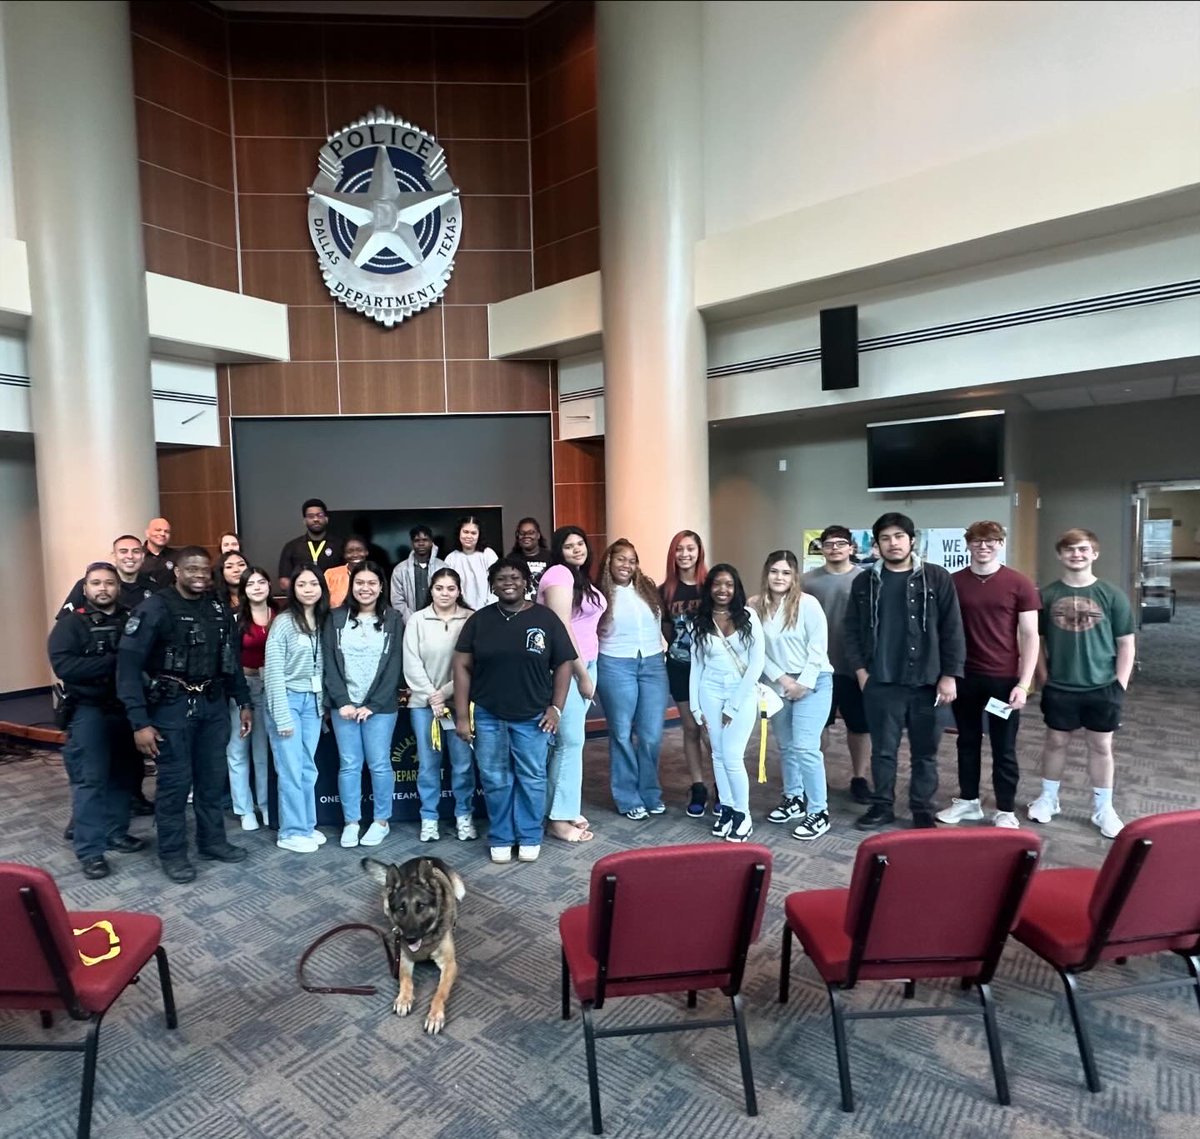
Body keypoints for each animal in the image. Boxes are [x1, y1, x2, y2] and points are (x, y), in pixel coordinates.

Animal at [360, 854, 463, 1032]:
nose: (410, 938)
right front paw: (403, 999)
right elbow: (406, 980)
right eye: (401, 909)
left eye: (420, 906)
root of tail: (422, 857)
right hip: (385, 901)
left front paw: (435, 1015)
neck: (425, 940)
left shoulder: (450, 965)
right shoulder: (403, 959)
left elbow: (440, 992)